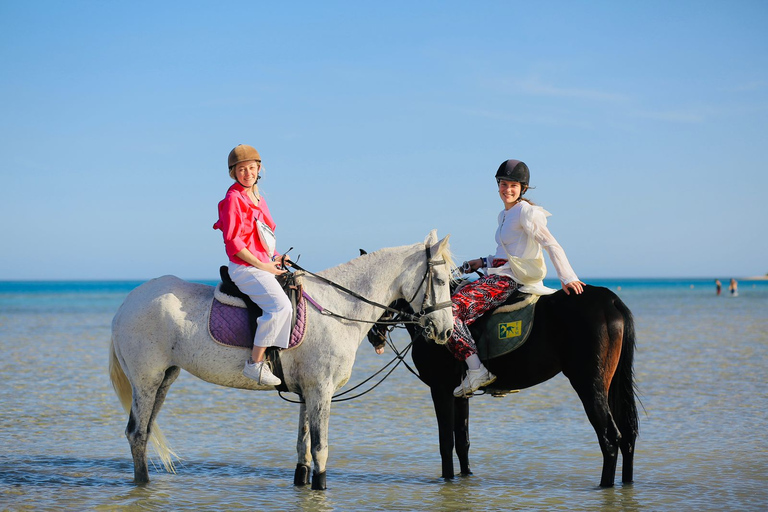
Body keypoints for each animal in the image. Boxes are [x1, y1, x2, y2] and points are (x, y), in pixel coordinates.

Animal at [109, 230, 456, 490]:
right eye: (440, 281)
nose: (446, 330)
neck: (336, 306)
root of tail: (126, 303)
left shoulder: (308, 393)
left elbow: (303, 448)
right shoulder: (321, 391)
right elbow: (320, 449)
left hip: (164, 380)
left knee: (144, 432)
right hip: (147, 381)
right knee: (136, 434)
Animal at [368, 284, 640, 488]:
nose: (372, 335)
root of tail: (610, 301)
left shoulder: (440, 390)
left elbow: (446, 442)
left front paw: (447, 479)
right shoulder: (460, 394)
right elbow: (462, 441)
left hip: (589, 386)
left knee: (610, 439)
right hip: (611, 386)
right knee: (627, 436)